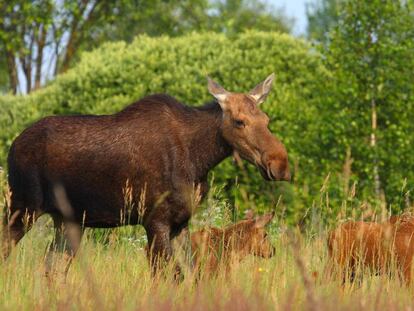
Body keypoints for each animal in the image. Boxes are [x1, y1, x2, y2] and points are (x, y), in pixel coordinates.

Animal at [1, 75, 290, 278]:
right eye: (239, 121)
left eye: (266, 119)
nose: (280, 164)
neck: (199, 159)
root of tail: (13, 146)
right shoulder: (156, 220)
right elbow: (169, 276)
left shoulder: (180, 223)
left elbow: (191, 273)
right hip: (22, 208)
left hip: (67, 220)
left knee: (52, 268)